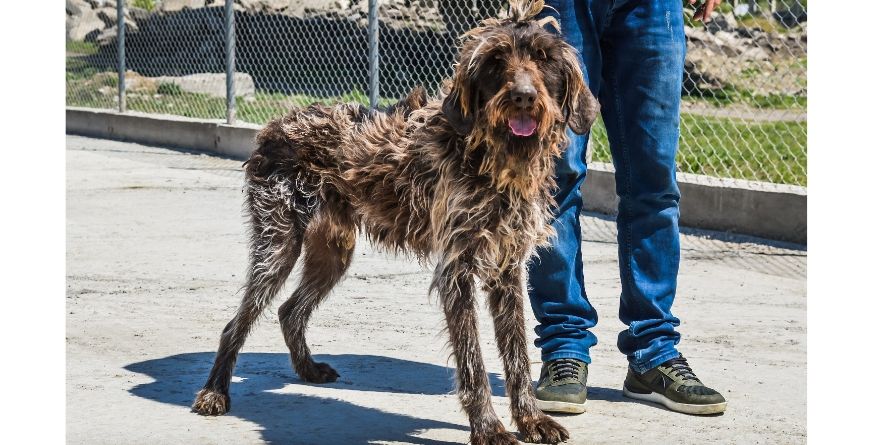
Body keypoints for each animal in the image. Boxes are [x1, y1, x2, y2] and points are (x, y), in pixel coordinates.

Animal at [193, 1, 596, 442]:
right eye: (495, 60)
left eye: (544, 59)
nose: (523, 97)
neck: (490, 155)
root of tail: (277, 123)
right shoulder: (457, 269)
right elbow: (473, 362)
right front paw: (489, 428)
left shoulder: (506, 268)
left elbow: (518, 355)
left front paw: (530, 419)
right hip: (277, 246)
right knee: (237, 322)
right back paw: (214, 392)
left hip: (332, 253)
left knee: (289, 311)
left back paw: (307, 369)